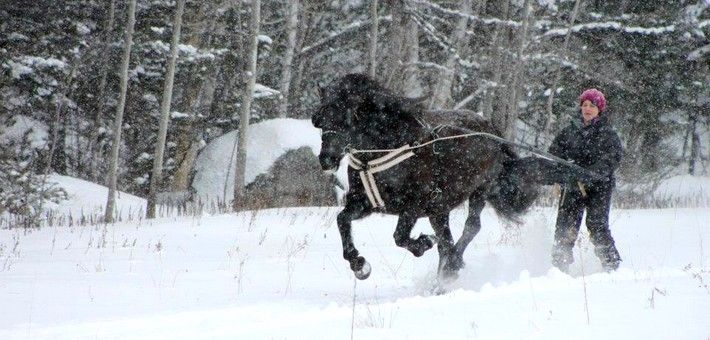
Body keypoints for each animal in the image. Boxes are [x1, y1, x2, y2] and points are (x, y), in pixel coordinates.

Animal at [312, 73, 568, 280]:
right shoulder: (366, 203)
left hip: (480, 189)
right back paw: (444, 275)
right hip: (439, 209)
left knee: (470, 227)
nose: (326, 159)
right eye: (320, 121)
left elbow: (400, 236)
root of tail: (490, 129)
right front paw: (359, 265)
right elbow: (342, 219)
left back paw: (451, 266)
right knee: (446, 241)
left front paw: (422, 243)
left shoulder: (414, 205)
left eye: (346, 118)